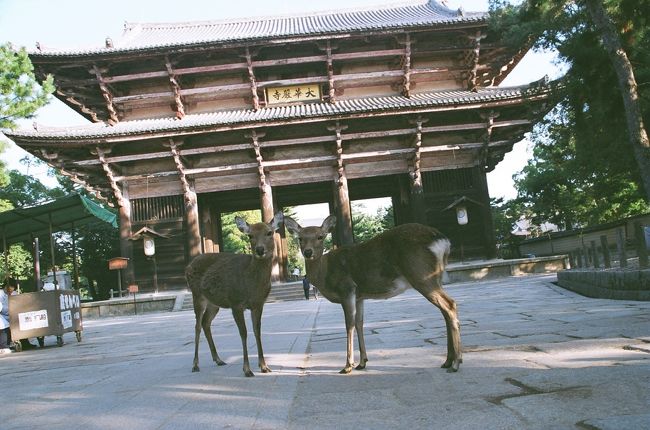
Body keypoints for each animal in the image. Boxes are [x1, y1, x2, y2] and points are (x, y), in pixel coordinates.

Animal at [184, 212, 282, 376]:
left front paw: (264, 366)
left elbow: (257, 331)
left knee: (205, 322)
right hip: (197, 294)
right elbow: (243, 333)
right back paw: (195, 364)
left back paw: (218, 359)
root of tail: (188, 266)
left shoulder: (258, 304)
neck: (252, 285)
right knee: (197, 325)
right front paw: (247, 369)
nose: (260, 250)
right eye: (250, 235)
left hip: (214, 303)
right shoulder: (235, 302)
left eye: (269, 232)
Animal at [284, 214, 460, 372]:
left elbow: (349, 324)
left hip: (421, 274)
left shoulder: (347, 289)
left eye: (320, 236)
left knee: (449, 304)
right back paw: (448, 361)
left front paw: (348, 365)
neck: (325, 273)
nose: (308, 252)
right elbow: (359, 323)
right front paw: (362, 362)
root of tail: (443, 241)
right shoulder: (359, 296)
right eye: (300, 238)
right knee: (445, 310)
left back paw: (456, 363)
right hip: (435, 276)